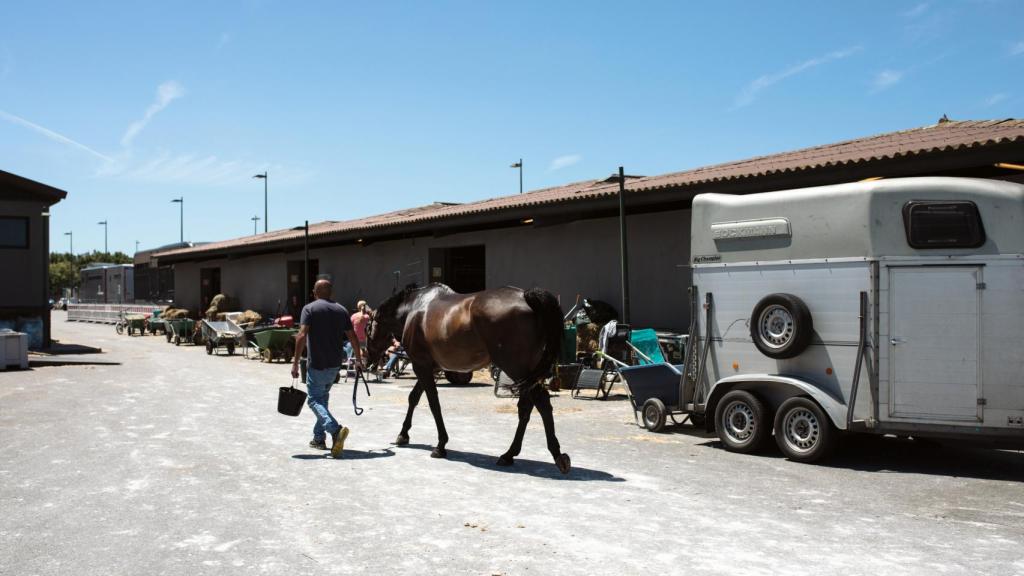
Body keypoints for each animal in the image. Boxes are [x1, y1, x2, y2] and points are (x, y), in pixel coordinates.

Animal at [368, 280, 573, 473]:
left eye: (368, 327)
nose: (369, 358)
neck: (415, 308)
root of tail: (525, 296)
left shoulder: (421, 366)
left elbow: (433, 403)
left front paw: (440, 445)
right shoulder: (430, 368)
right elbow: (414, 398)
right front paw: (403, 435)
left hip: (516, 368)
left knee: (541, 402)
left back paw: (557, 455)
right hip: (526, 373)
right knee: (526, 408)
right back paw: (508, 455)